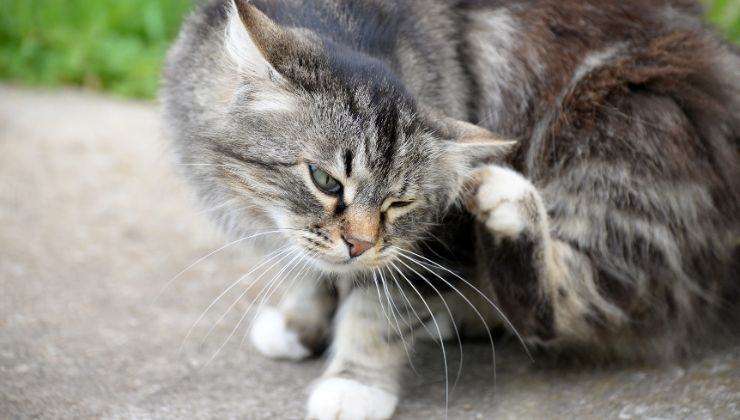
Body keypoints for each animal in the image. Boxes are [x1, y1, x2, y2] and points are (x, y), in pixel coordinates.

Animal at [163, 0, 740, 418]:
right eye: (326, 181)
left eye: (399, 202)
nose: (360, 244)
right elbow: (307, 269)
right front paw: (297, 320)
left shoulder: (436, 239)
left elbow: (379, 313)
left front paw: (354, 384)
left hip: (621, 138)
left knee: (574, 306)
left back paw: (508, 206)